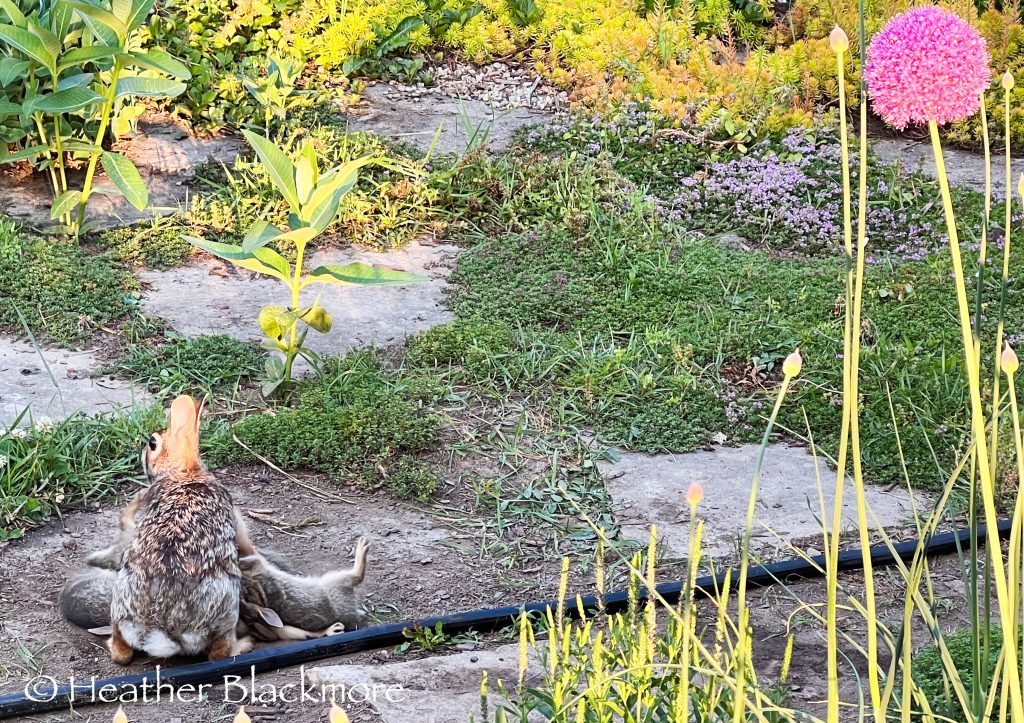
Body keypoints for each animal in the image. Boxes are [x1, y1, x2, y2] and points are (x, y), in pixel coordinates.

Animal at [108, 394, 256, 664]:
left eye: (152, 443)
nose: (143, 452)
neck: (185, 471)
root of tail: (159, 631)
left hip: (120, 595)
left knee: (120, 651)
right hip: (227, 604)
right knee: (220, 652)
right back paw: (245, 644)